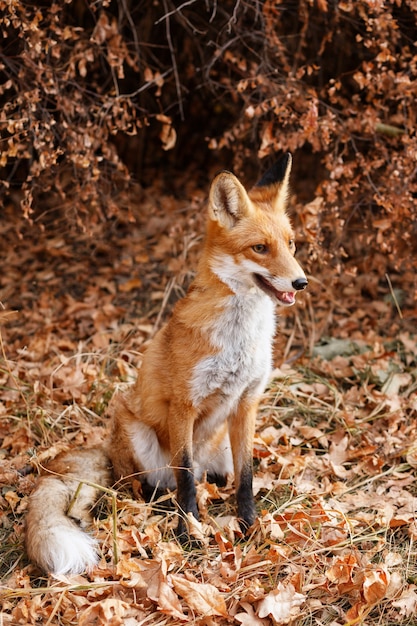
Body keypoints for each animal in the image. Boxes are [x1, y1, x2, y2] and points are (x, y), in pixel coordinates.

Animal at [25, 154, 306, 572]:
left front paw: (249, 525)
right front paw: (188, 532)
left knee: (212, 476)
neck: (238, 338)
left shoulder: (246, 402)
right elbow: (186, 478)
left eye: (291, 244)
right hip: (135, 433)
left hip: (219, 448)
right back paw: (156, 506)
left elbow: (246, 477)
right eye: (260, 248)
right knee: (144, 485)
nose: (302, 282)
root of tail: (106, 449)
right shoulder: (183, 405)